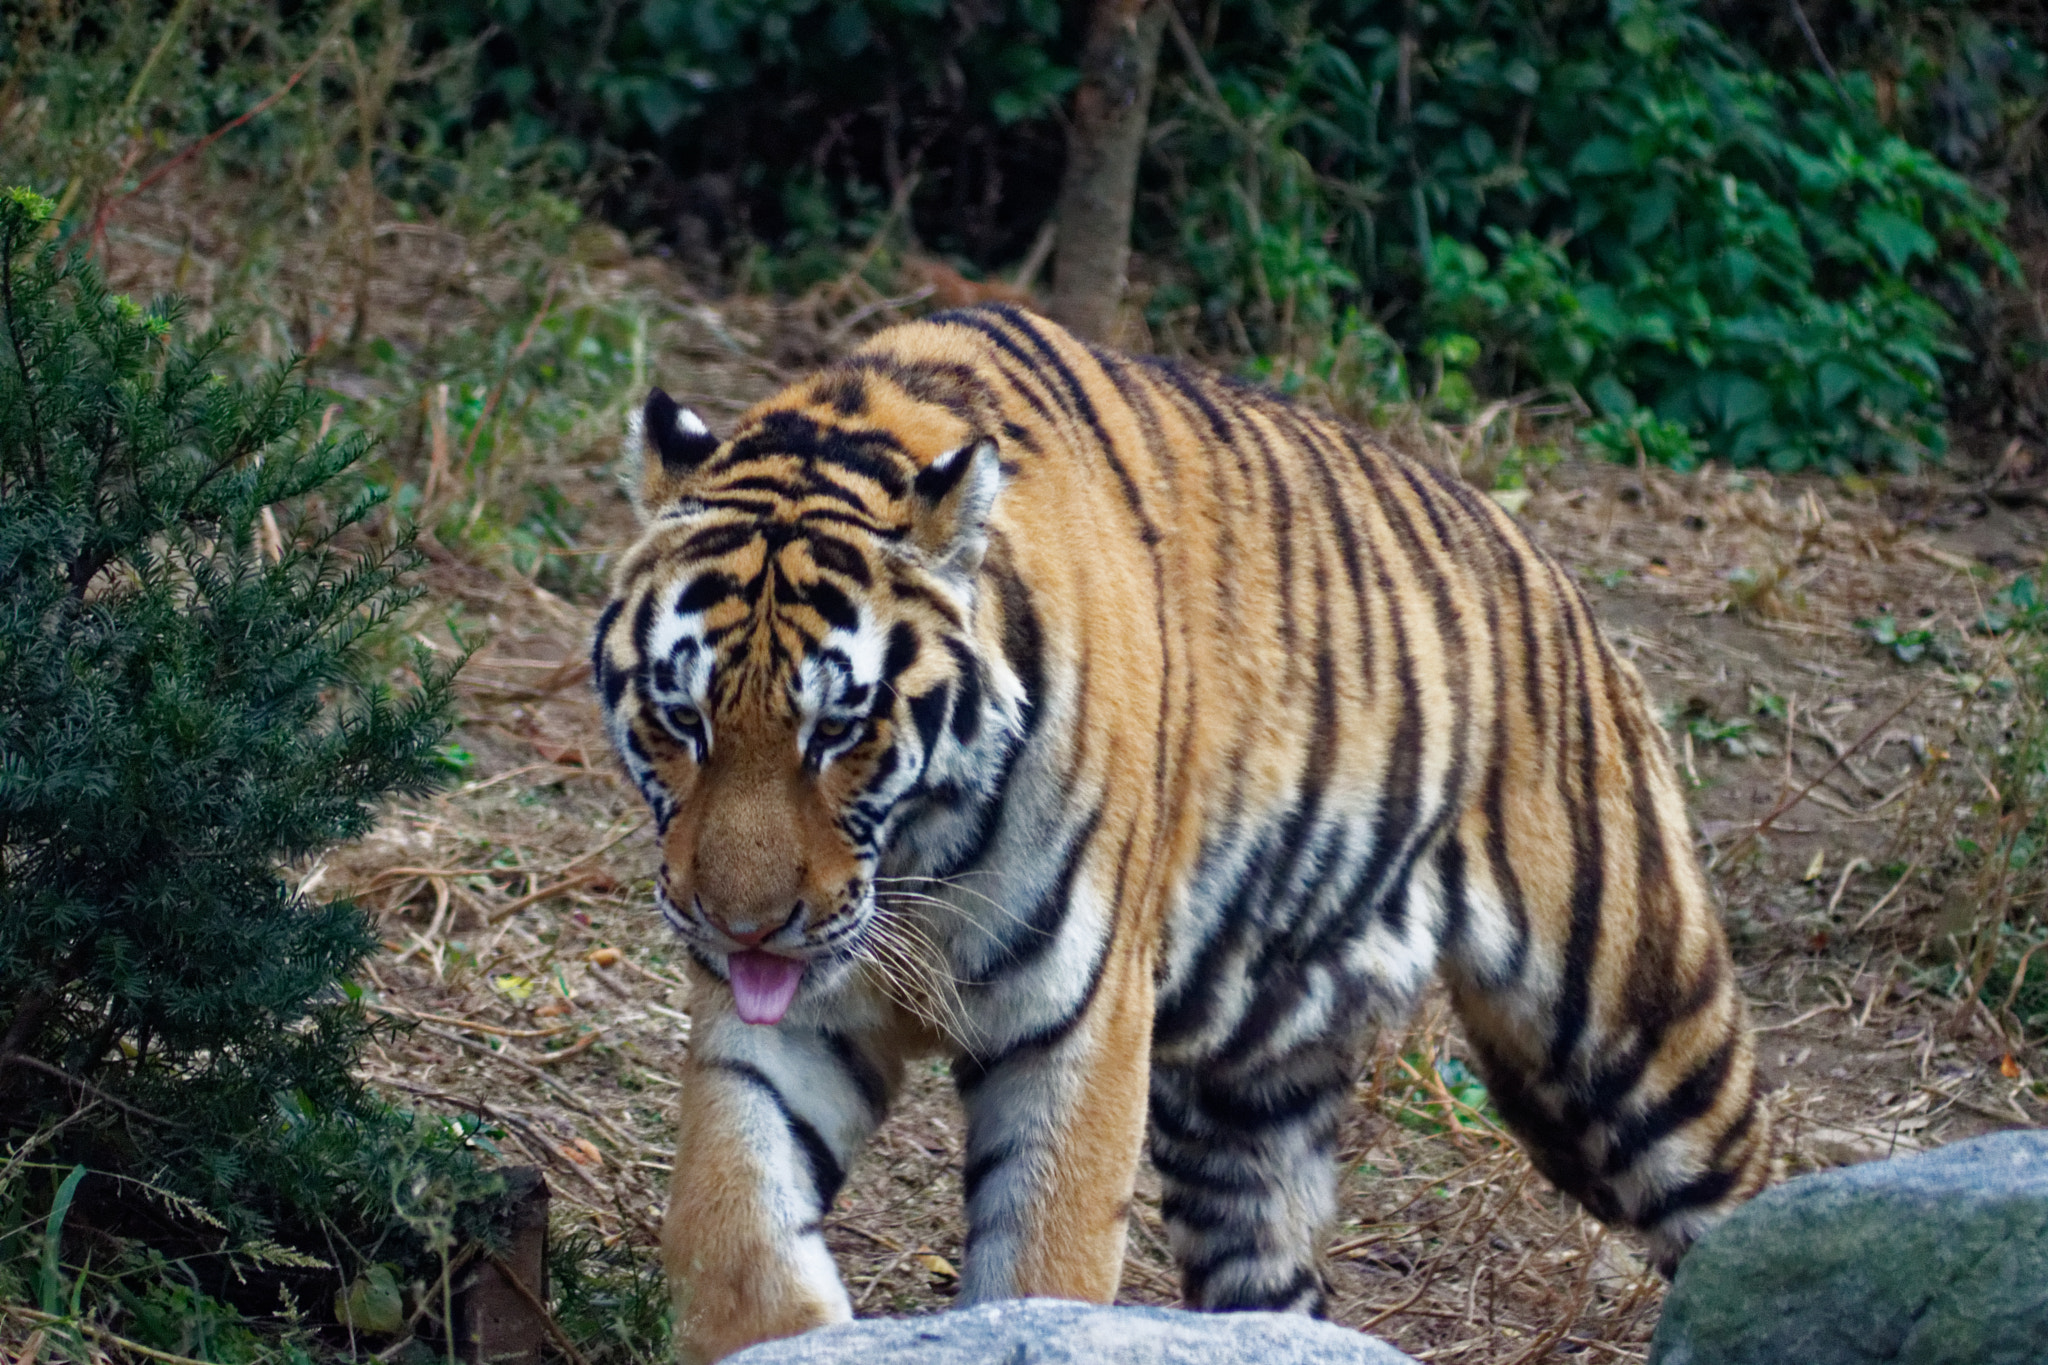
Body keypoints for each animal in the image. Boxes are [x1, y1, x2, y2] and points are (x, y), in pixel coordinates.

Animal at [591, 303, 1771, 1364]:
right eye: (682, 718)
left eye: (837, 729)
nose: (739, 928)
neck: (916, 859)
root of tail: (1552, 574)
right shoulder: (789, 1017)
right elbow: (733, 1226)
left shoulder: (1077, 1024)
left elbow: (1044, 1266)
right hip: (1244, 1098)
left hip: (1627, 1029)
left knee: (1739, 1187)